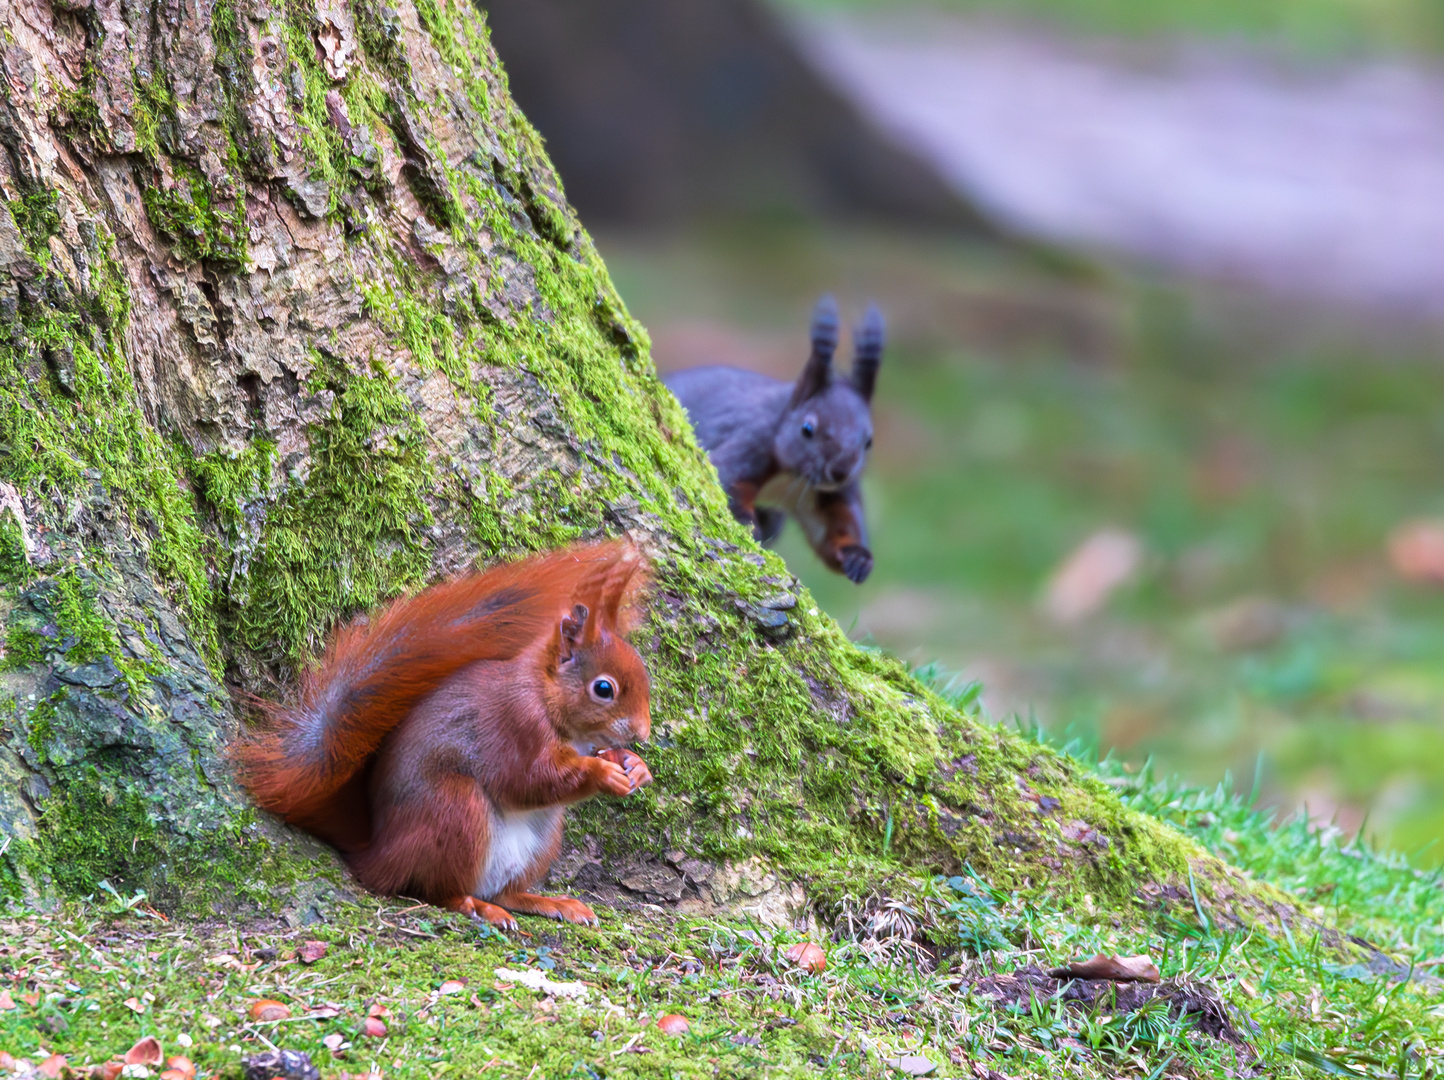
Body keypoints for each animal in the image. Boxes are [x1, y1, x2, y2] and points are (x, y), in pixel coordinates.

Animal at [238, 540, 655, 929]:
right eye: (604, 689)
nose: (643, 733)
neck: (544, 695)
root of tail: (376, 853)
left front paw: (634, 765)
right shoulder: (513, 725)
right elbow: (529, 780)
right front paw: (603, 773)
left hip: (543, 837)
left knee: (506, 892)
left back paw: (550, 903)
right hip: (455, 807)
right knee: (436, 889)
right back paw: (475, 906)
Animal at [661, 295, 877, 583]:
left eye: (869, 442)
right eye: (807, 429)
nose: (840, 471)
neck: (792, 478)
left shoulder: (833, 494)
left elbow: (836, 527)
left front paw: (857, 556)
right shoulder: (754, 442)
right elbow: (725, 477)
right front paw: (749, 525)